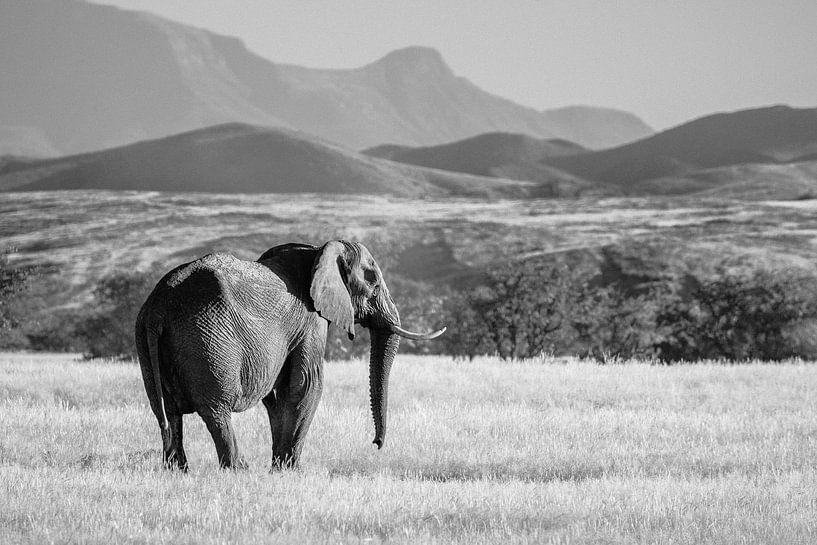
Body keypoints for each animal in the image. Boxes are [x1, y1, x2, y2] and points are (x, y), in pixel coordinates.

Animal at [134, 240, 444, 471]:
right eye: (374, 283)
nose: (376, 444)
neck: (319, 252)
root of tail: (159, 305)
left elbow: (277, 396)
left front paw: (279, 469)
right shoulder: (310, 319)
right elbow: (306, 386)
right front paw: (289, 471)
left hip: (147, 340)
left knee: (166, 410)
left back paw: (177, 471)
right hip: (208, 340)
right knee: (215, 409)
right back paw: (238, 469)